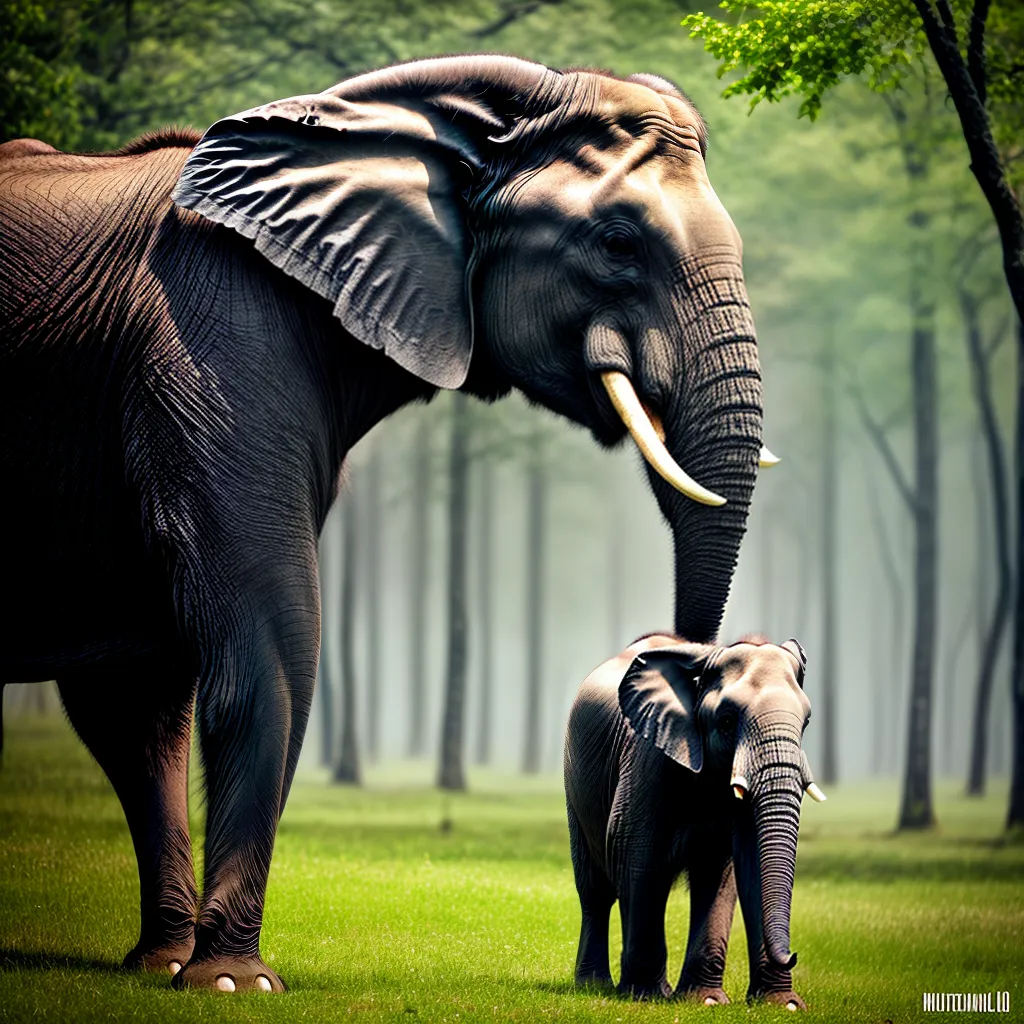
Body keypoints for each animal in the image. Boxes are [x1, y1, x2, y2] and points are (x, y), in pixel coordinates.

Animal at [0, 55, 774, 991]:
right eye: (619, 243)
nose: (688, 653)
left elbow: (135, 697)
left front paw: (167, 968)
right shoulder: (213, 344)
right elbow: (272, 634)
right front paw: (232, 982)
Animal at [564, 633, 825, 1007]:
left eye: (806, 723)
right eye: (727, 721)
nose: (792, 955)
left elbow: (741, 866)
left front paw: (768, 1004)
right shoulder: (649, 755)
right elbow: (637, 853)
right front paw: (646, 995)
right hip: (574, 782)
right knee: (595, 890)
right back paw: (594, 985)